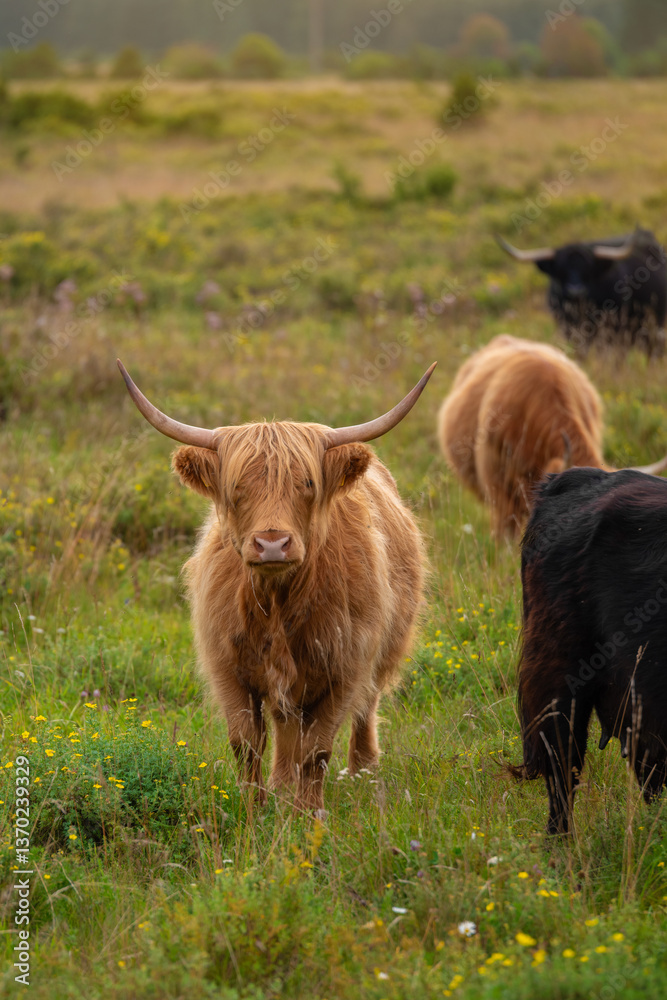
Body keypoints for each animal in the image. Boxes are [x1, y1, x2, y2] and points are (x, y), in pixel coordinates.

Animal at [117, 359, 434, 814]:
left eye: (307, 484)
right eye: (236, 488)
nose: (272, 543)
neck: (278, 602)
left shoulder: (345, 667)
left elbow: (316, 749)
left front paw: (309, 814)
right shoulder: (227, 666)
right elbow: (247, 743)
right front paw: (254, 809)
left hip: (384, 647)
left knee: (364, 706)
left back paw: (362, 770)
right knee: (286, 725)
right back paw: (282, 787)